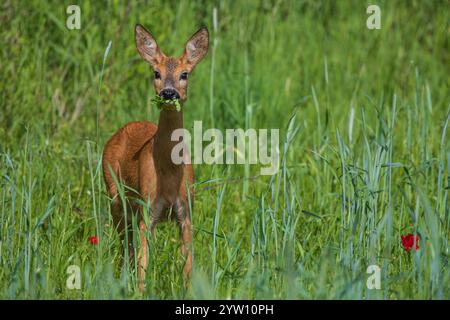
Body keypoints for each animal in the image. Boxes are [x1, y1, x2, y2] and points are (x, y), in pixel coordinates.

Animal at [102, 23, 209, 292]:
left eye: (185, 74)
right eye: (156, 72)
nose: (169, 93)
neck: (169, 173)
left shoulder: (185, 213)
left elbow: (187, 268)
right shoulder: (147, 210)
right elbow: (143, 265)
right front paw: (138, 293)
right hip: (116, 197)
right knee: (126, 246)